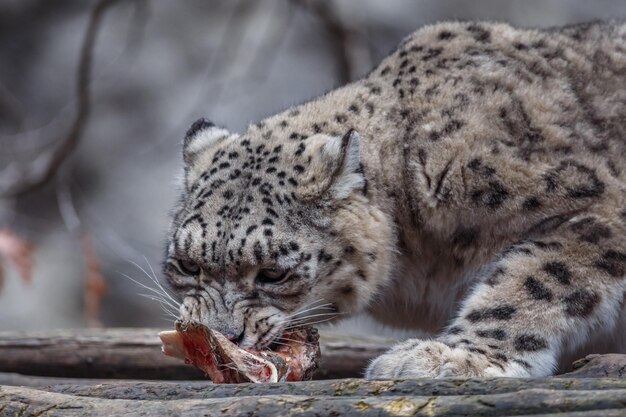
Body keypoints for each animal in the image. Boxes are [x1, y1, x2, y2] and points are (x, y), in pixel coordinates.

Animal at [163, 19, 624, 378]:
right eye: (187, 265)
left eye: (273, 274)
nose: (222, 336)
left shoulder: (602, 211)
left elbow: (534, 279)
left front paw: (453, 358)